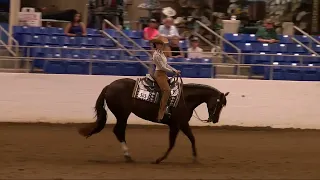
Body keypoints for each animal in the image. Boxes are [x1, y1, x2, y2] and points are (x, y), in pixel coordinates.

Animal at [78, 74, 228, 163]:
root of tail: (109, 86)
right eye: (219, 104)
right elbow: (172, 143)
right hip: (122, 114)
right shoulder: (176, 125)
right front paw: (159, 159)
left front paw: (195, 157)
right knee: (119, 131)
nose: (215, 120)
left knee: (119, 131)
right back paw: (128, 155)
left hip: (122, 115)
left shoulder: (183, 123)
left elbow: (192, 138)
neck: (185, 98)